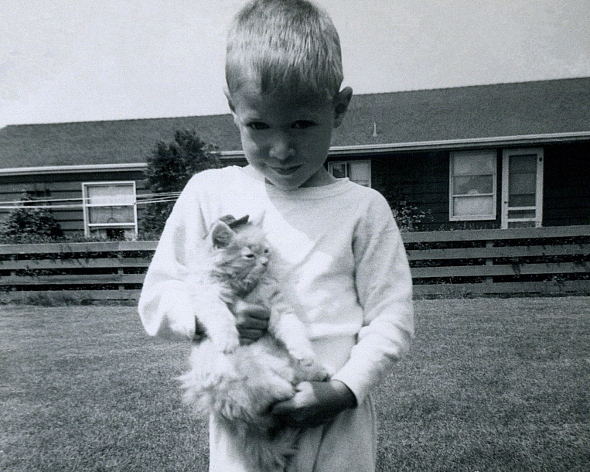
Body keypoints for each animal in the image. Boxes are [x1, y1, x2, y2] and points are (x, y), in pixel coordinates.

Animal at [178, 216, 330, 470]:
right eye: (249, 255)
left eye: (266, 251)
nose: (266, 262)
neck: (243, 285)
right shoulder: (206, 295)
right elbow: (220, 315)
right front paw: (228, 339)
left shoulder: (277, 306)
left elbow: (293, 328)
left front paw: (304, 352)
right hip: (232, 374)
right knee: (264, 391)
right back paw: (284, 388)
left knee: (291, 378)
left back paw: (317, 372)